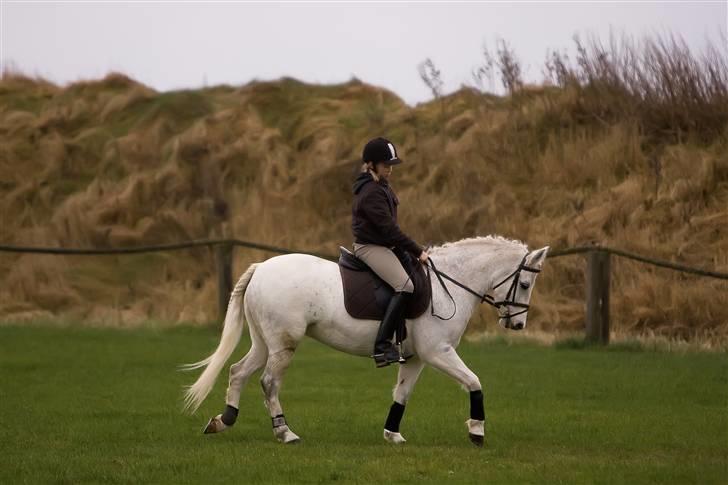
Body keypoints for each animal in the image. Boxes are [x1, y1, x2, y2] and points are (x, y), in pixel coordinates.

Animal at [181, 236, 544, 444]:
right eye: (525, 284)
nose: (517, 324)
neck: (449, 284)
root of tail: (260, 267)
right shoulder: (438, 352)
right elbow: (474, 381)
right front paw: (477, 430)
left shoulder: (417, 357)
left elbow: (402, 394)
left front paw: (392, 434)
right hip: (284, 343)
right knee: (269, 382)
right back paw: (284, 433)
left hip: (264, 342)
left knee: (238, 372)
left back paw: (223, 421)